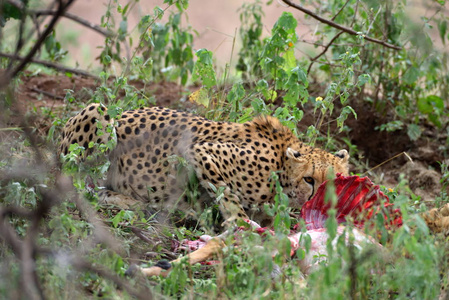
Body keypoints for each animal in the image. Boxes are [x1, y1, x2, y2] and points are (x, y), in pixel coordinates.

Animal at [59, 104, 348, 226]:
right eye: (309, 180)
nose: (325, 203)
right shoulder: (202, 151)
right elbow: (229, 198)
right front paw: (243, 229)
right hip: (99, 112)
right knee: (79, 186)